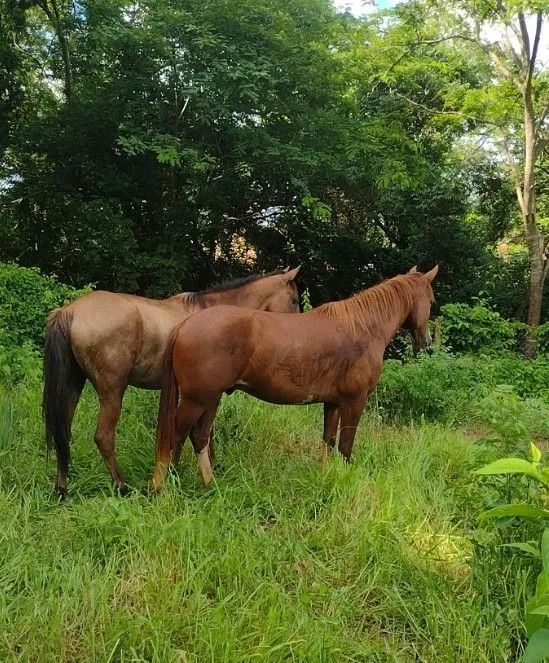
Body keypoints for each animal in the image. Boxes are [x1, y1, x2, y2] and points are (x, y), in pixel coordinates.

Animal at [42, 267, 301, 498]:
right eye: (295, 299)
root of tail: (69, 311)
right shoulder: (203, 394)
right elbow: (197, 433)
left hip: (72, 386)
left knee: (62, 432)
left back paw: (62, 489)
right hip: (112, 391)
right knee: (103, 437)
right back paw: (122, 486)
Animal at [150, 266, 438, 491]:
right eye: (432, 300)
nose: (426, 341)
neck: (363, 328)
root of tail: (186, 324)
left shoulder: (333, 403)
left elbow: (328, 442)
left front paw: (327, 478)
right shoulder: (354, 402)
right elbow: (345, 448)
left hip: (211, 398)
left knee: (199, 436)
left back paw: (209, 484)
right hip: (197, 400)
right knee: (176, 434)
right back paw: (164, 487)